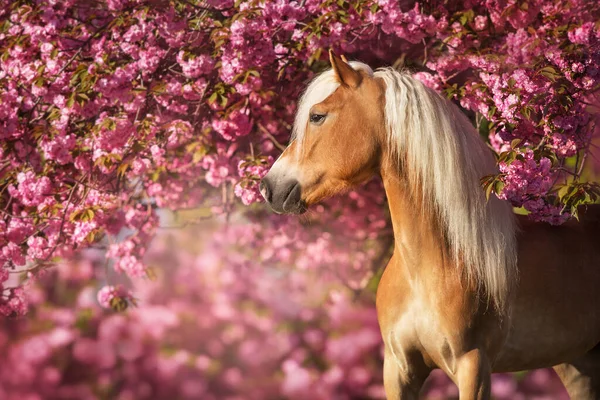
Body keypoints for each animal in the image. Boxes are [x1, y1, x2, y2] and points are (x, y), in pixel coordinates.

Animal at [260, 51, 600, 398]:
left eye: (317, 116)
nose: (269, 187)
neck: (433, 267)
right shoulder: (398, 369)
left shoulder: (473, 367)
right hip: (577, 364)